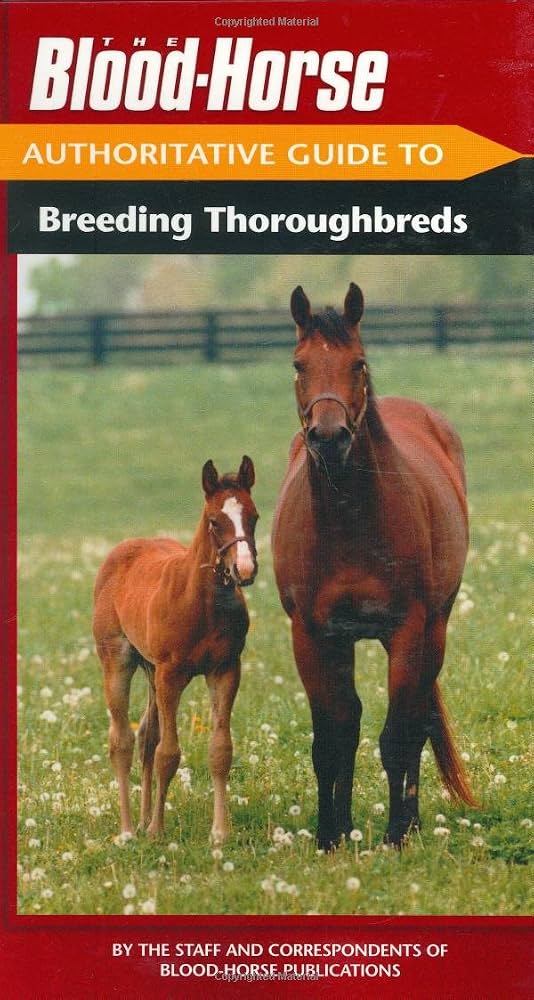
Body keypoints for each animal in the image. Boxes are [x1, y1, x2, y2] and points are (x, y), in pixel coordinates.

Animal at [93, 455, 258, 843]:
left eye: (255, 517)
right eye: (214, 521)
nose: (244, 569)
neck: (201, 604)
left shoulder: (225, 670)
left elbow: (220, 750)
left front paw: (219, 832)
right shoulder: (172, 674)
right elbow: (168, 753)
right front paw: (157, 830)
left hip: (151, 669)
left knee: (145, 736)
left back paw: (140, 821)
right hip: (118, 660)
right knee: (122, 740)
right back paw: (128, 830)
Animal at [272, 284, 477, 849]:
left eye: (358, 363)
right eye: (298, 364)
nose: (329, 437)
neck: (350, 522)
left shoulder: (406, 630)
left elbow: (397, 736)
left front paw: (395, 836)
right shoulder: (313, 635)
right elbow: (332, 736)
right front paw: (330, 835)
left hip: (435, 629)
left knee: (417, 722)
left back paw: (413, 820)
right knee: (353, 721)